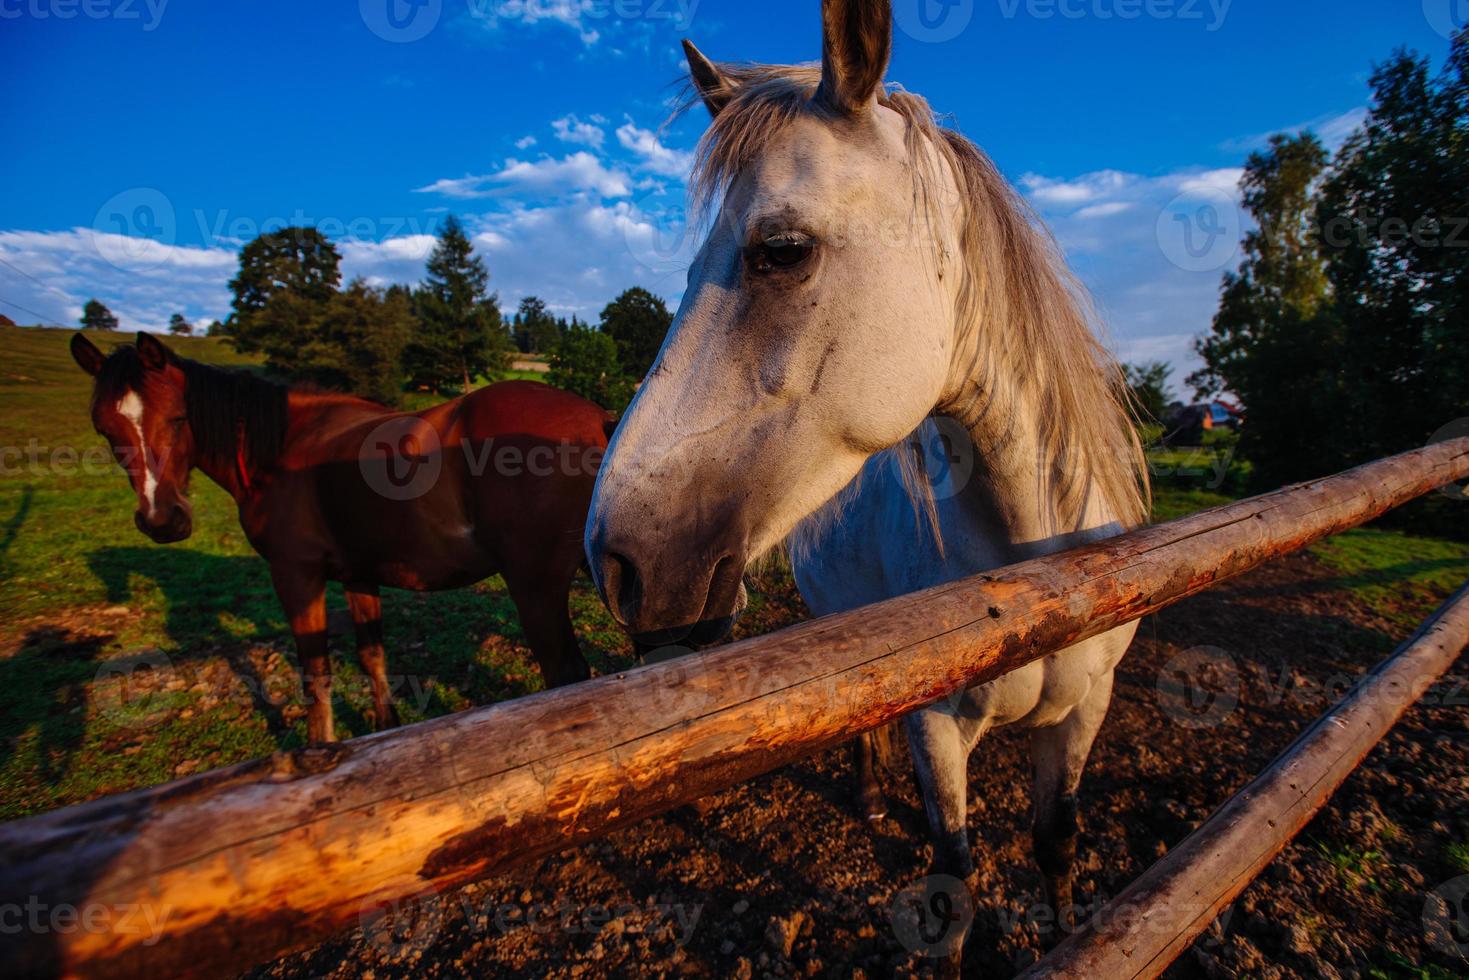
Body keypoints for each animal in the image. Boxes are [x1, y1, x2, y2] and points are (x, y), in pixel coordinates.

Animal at [73, 333, 614, 740]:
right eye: (103, 429)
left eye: (178, 418)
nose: (161, 519)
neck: (283, 448)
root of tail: (600, 420)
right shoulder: (359, 574)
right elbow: (371, 655)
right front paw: (384, 730)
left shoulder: (296, 574)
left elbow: (315, 669)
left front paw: (320, 748)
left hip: (534, 587)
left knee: (567, 674)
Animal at [584, 0, 1145, 963]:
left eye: (780, 250)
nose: (616, 560)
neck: (1037, 563)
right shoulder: (936, 726)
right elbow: (954, 880)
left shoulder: (1085, 711)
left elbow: (1054, 840)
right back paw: (874, 794)